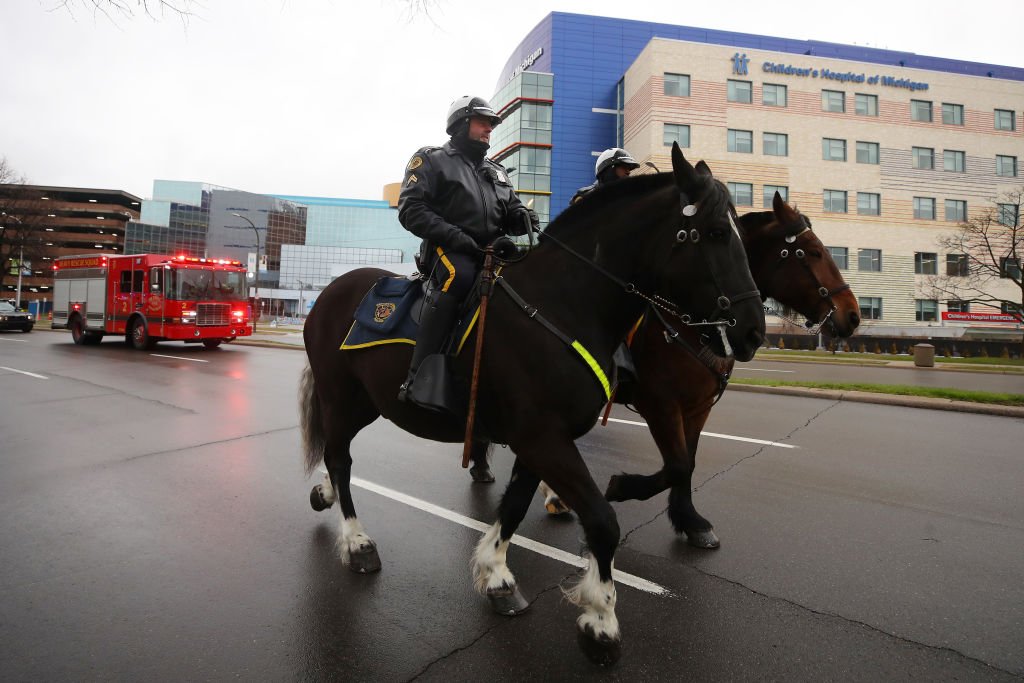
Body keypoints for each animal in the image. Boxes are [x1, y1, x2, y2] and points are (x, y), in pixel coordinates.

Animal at [299, 141, 765, 663]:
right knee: (340, 459)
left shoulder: (538, 439)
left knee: (333, 453)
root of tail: (331, 291)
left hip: (365, 403)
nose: (753, 332)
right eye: (716, 231)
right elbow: (603, 521)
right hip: (340, 397)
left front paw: (497, 575)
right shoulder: (547, 436)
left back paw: (326, 497)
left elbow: (516, 505)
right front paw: (600, 620)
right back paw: (357, 543)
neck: (564, 304)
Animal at [536, 191, 864, 544]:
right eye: (814, 252)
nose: (853, 315)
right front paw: (623, 487)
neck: (694, 322)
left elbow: (688, 462)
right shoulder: (660, 405)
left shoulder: (698, 407)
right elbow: (677, 464)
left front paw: (689, 519)